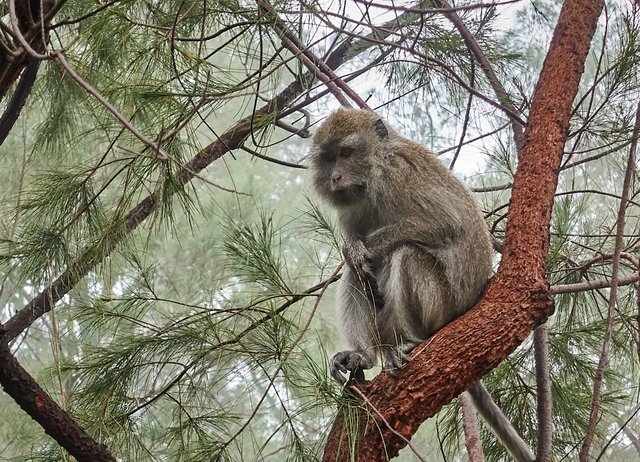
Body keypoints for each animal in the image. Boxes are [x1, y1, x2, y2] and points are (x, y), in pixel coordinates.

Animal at [310, 109, 536, 462]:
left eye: (346, 153)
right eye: (329, 158)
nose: (335, 177)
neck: (376, 174)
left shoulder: (399, 174)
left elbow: (443, 223)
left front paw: (358, 249)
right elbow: (357, 262)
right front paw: (353, 250)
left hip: (442, 307)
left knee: (407, 255)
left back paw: (413, 341)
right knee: (357, 276)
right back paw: (364, 357)